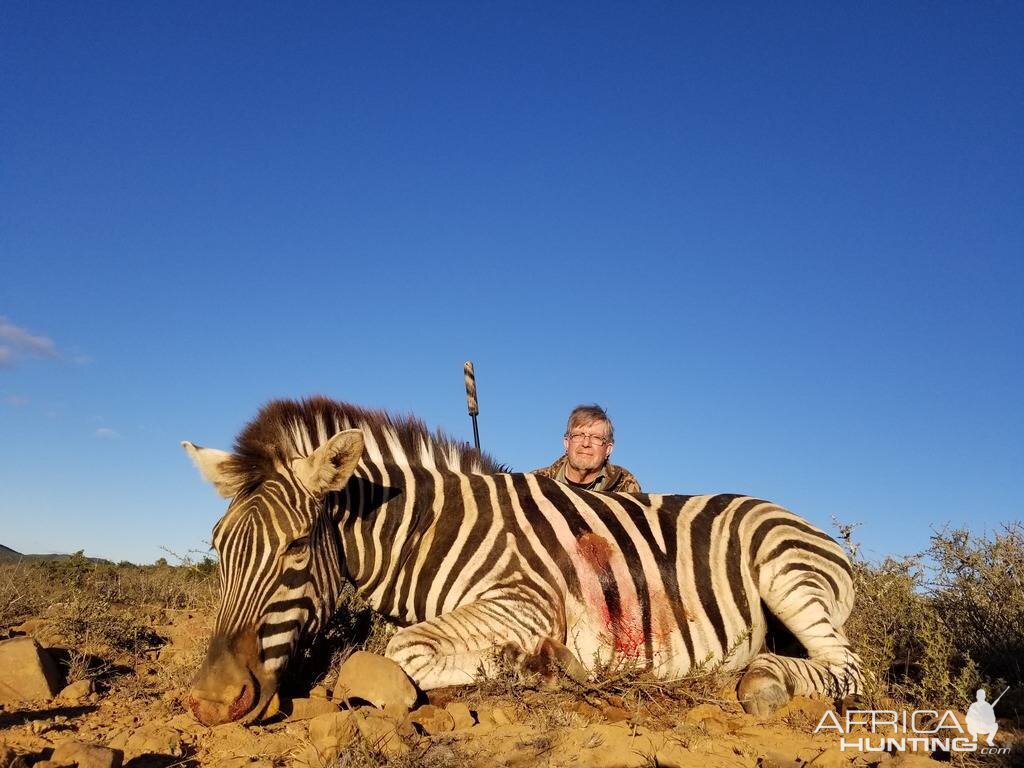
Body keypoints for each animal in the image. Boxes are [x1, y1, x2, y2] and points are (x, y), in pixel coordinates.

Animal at [182, 397, 864, 729]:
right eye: (217, 545)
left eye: (296, 546)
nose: (211, 704)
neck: (429, 533)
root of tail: (813, 528)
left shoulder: (524, 603)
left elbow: (403, 651)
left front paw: (542, 666)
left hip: (786, 573)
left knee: (848, 670)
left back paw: (761, 680)